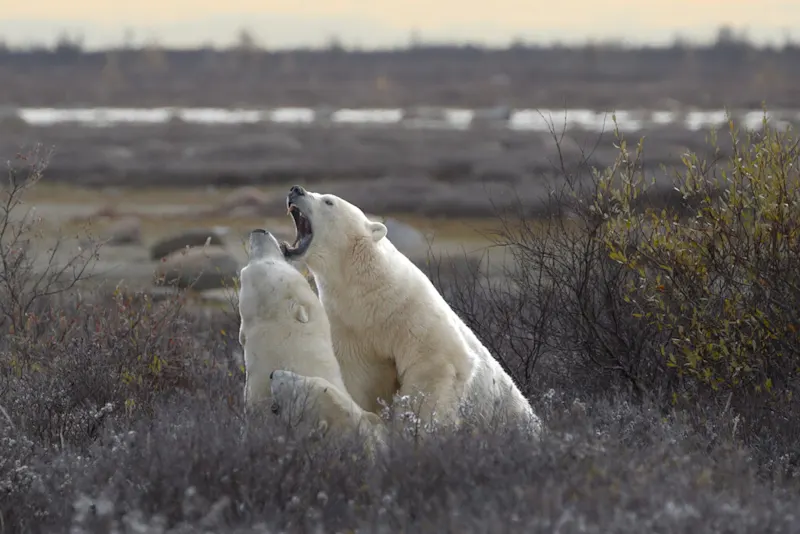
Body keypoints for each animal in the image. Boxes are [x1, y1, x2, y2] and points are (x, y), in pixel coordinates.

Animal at [280, 185, 542, 435]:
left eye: (328, 201)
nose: (295, 189)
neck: (373, 293)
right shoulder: (349, 327)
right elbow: (360, 379)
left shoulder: (410, 311)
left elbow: (433, 366)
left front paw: (414, 428)